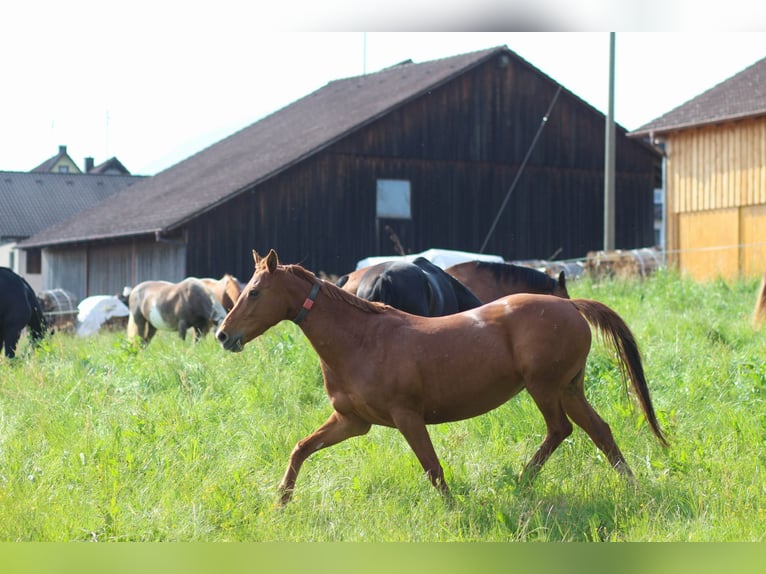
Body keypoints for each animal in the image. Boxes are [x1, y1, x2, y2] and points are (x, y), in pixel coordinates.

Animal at [219, 251, 668, 504]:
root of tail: (572, 307)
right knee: (600, 431)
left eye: (254, 292)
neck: (361, 338)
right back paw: (631, 489)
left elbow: (433, 468)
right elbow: (300, 449)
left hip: (545, 387)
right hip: (570, 388)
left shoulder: (407, 418)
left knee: (561, 430)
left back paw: (522, 481)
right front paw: (281, 501)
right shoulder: (352, 422)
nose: (224, 334)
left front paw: (453, 511)